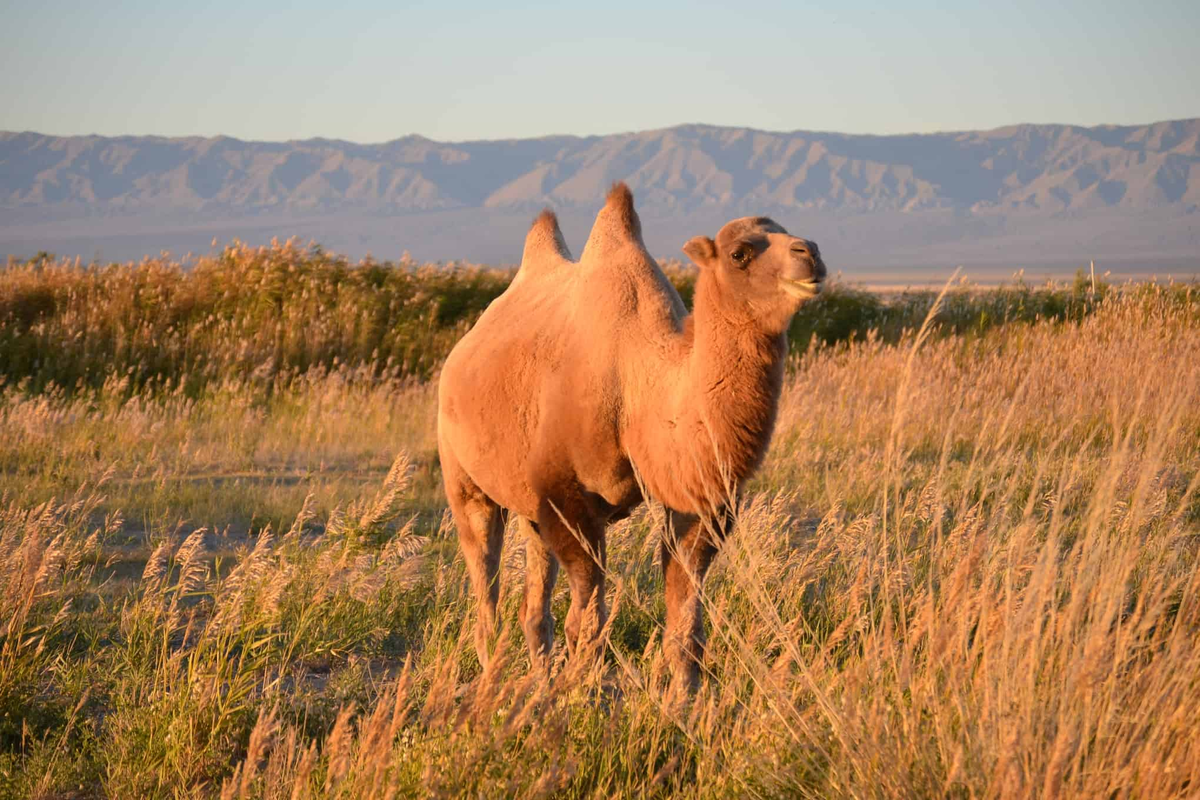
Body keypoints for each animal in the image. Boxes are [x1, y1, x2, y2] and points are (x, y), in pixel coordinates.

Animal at [439, 184, 825, 690]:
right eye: (740, 252)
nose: (811, 252)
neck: (638, 384)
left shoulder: (697, 498)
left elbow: (685, 616)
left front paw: (684, 696)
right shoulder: (566, 496)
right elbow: (587, 618)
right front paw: (581, 693)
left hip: (528, 506)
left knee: (534, 603)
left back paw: (539, 680)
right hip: (463, 479)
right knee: (486, 583)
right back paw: (494, 682)